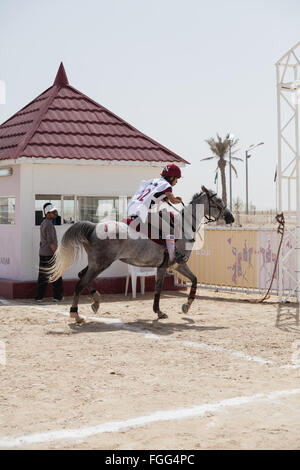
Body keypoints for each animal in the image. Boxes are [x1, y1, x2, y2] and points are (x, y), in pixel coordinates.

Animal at [47, 186, 234, 324]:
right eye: (218, 201)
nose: (231, 218)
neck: (183, 225)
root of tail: (93, 227)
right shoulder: (174, 264)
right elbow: (163, 287)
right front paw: (163, 310)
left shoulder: (170, 266)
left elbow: (190, 280)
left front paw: (182, 307)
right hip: (101, 263)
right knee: (80, 283)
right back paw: (76, 314)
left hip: (96, 263)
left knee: (82, 276)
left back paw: (96, 301)